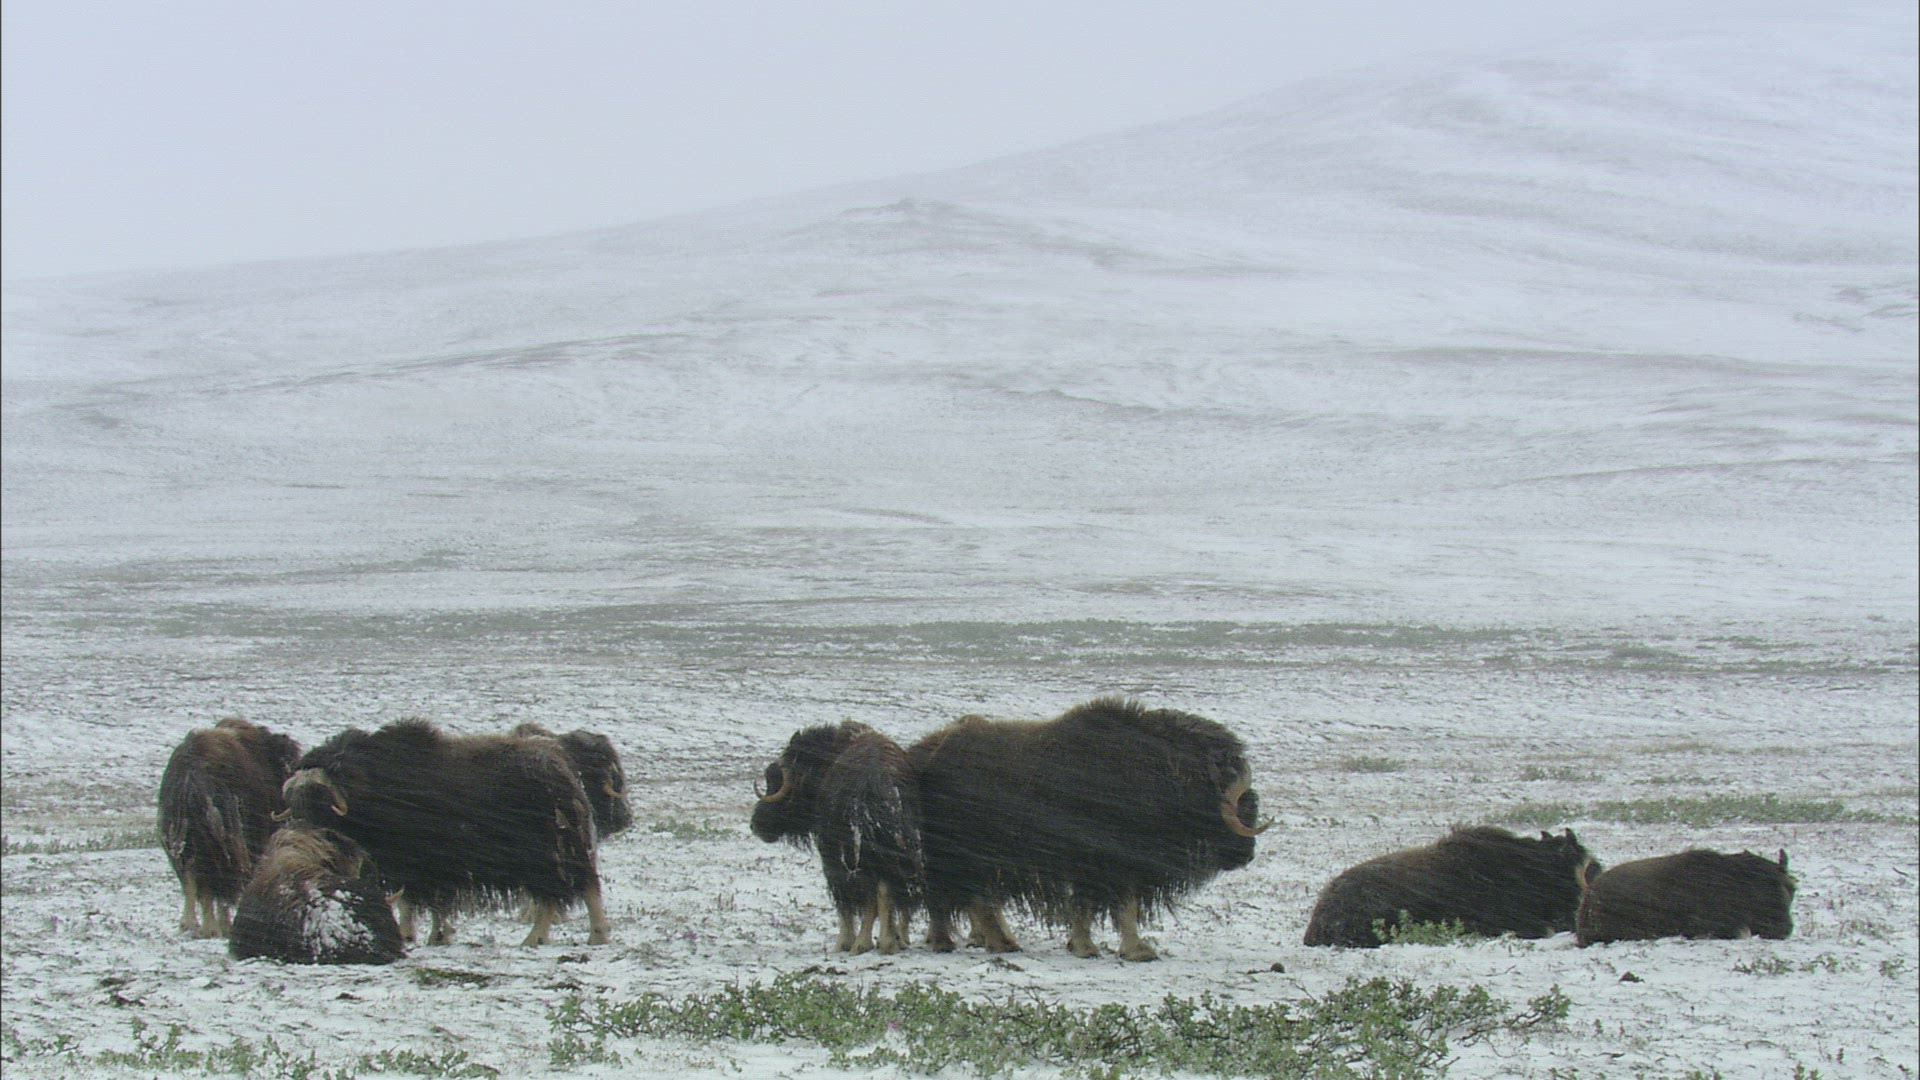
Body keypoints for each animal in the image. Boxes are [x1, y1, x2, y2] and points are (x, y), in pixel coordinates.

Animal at [156, 717, 302, 938]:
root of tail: (191, 779)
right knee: (215, 880)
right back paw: (214, 927)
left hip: (183, 841)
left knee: (192, 880)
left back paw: (191, 925)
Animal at [281, 719, 610, 947]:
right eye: (293, 802)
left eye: (318, 800)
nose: (301, 839)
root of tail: (562, 767)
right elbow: (423, 904)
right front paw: (435, 935)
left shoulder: (422, 865)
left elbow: (419, 901)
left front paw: (422, 935)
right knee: (568, 893)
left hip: (547, 856)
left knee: (568, 893)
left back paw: (555, 938)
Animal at [751, 720, 923, 954]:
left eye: (776, 777)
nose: (755, 825)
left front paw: (844, 942)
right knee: (886, 891)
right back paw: (888, 942)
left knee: (869, 894)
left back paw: (863, 943)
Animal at [907, 697, 1267, 962]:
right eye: (1245, 803)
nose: (1246, 856)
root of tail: (924, 756)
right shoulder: (1109, 864)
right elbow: (1117, 905)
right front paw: (1130, 951)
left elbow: (1095, 906)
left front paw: (1086, 945)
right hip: (960, 856)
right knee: (960, 898)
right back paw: (961, 943)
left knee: (974, 900)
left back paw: (995, 942)